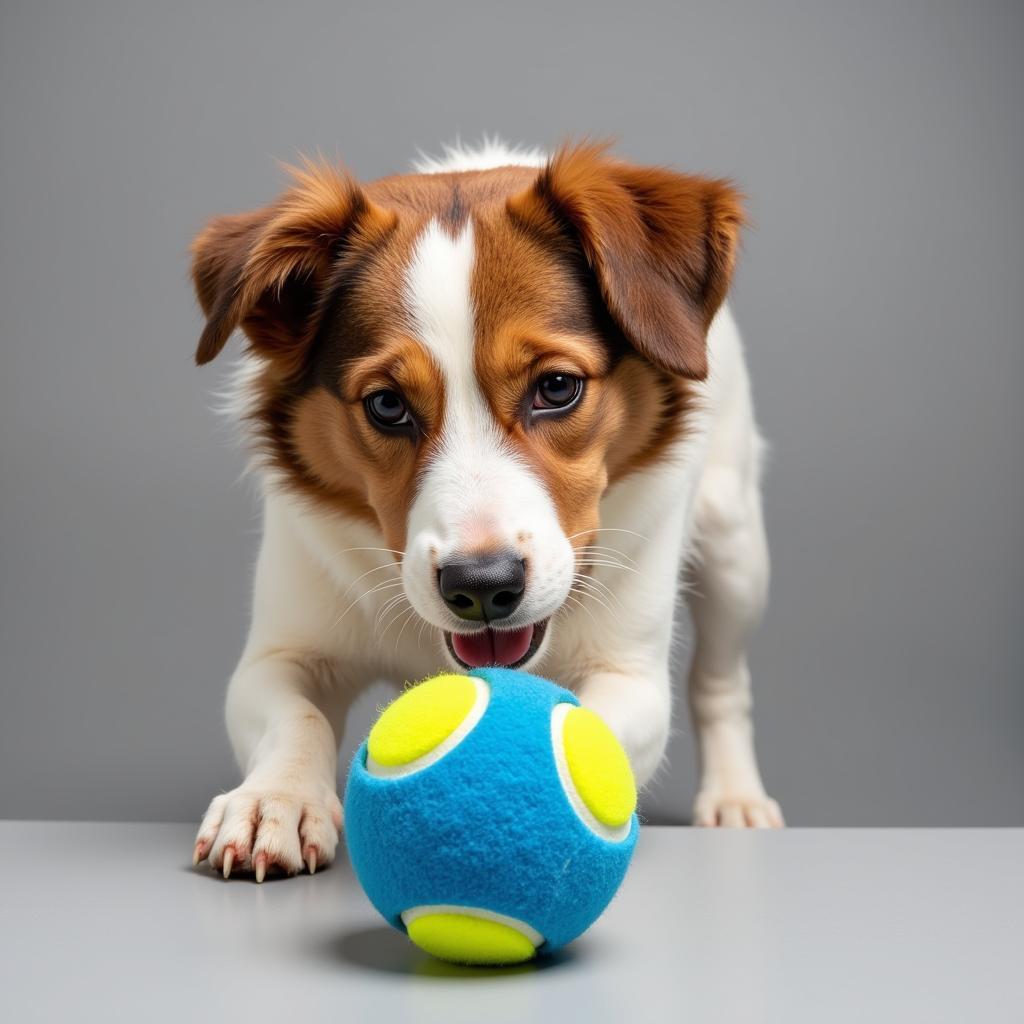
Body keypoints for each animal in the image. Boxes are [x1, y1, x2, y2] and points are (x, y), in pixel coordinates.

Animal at [192, 142, 782, 880]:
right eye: (386, 404)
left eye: (556, 387)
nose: (481, 588)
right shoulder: (280, 653)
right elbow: (296, 716)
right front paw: (274, 799)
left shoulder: (631, 676)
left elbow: (596, 724)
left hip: (735, 549)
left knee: (721, 680)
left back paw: (735, 796)